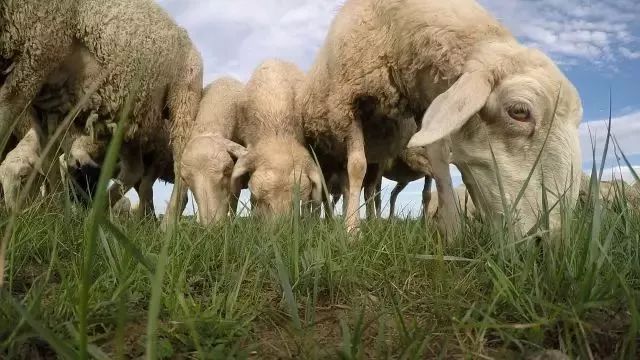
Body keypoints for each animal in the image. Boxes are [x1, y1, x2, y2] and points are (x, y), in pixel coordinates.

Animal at [0, 0, 204, 229]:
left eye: (23, 177)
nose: (13, 213)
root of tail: (184, 33)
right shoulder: (43, 105)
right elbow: (49, 161)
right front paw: (56, 215)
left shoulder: (38, 55)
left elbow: (4, 117)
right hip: (131, 114)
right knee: (134, 170)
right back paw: (95, 216)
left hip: (184, 98)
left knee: (179, 168)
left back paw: (165, 226)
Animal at [298, 0, 584, 238]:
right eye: (519, 111)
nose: (551, 237)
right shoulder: (347, 107)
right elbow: (357, 166)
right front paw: (351, 234)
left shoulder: (425, 112)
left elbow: (439, 165)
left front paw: (452, 234)